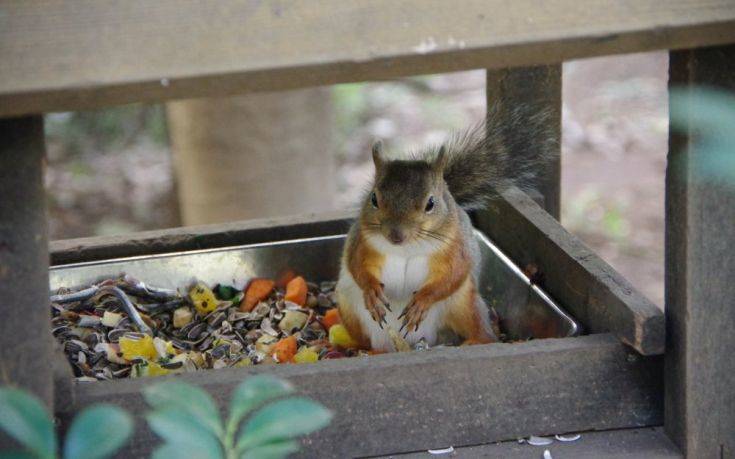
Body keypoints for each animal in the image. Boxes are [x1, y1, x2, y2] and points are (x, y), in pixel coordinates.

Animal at [334, 109, 552, 354]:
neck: (407, 248)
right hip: (349, 308)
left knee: (481, 329)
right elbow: (357, 266)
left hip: (464, 305)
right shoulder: (361, 243)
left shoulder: (456, 247)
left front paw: (422, 302)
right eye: (373, 199)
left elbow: (453, 274)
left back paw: (476, 341)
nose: (396, 235)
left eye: (431, 203)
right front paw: (371, 292)